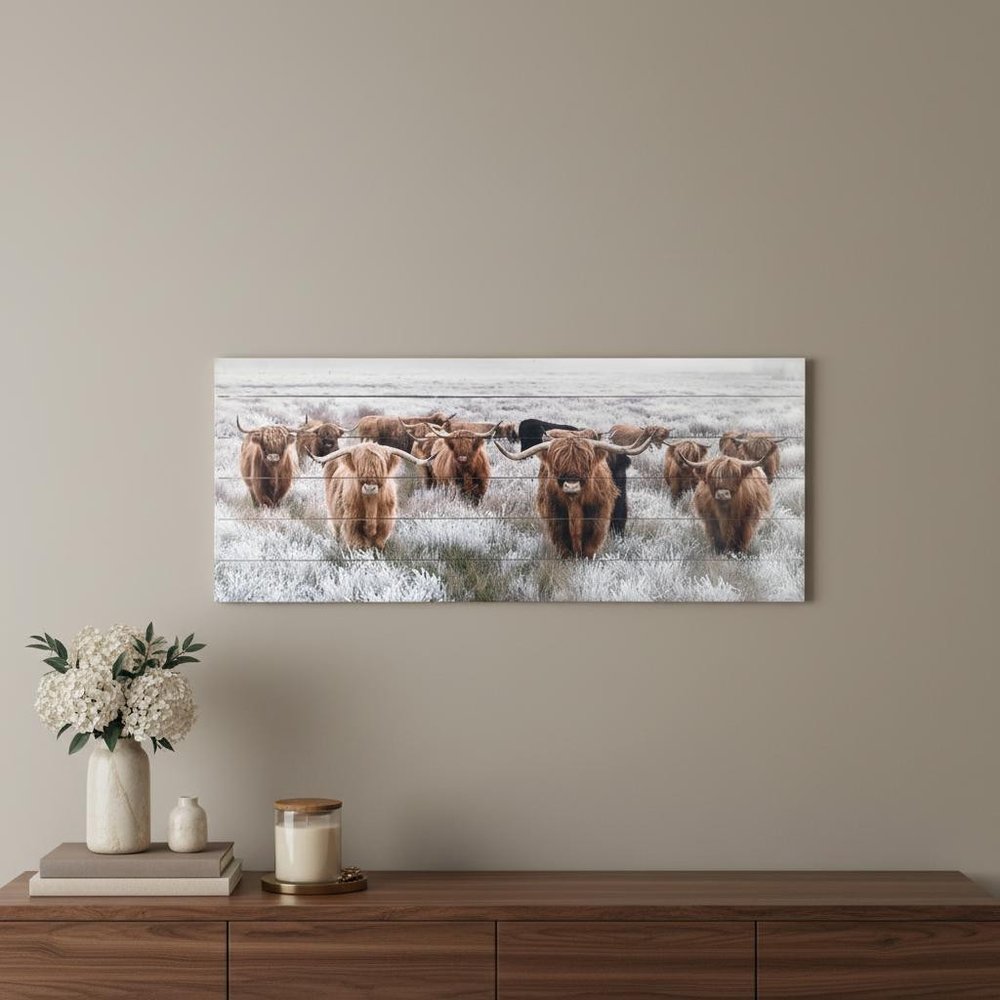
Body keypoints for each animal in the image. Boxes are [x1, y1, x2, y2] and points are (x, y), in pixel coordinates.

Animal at [496, 434, 653, 558]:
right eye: (557, 465)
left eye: (586, 464)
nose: (571, 486)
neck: (574, 504)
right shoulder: (555, 516)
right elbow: (562, 543)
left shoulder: (598, 517)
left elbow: (590, 545)